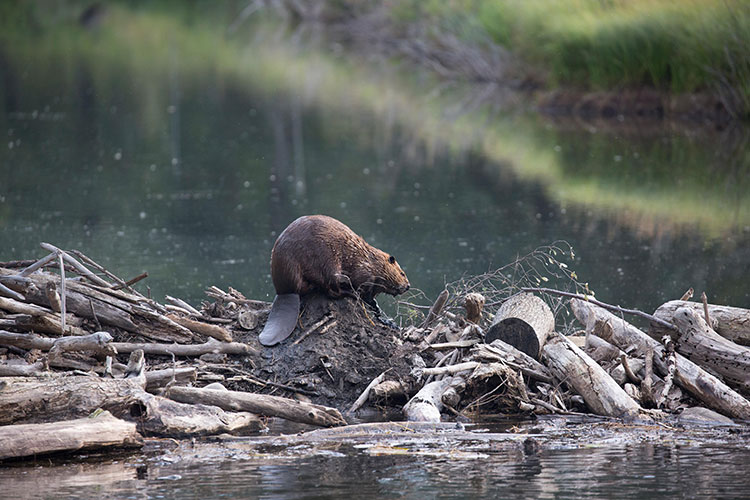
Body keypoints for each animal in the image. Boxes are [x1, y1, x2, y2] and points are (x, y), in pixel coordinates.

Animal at [258, 215, 412, 348]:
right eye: (402, 273)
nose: (408, 286)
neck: (370, 259)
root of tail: (286, 291)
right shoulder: (363, 270)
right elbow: (362, 287)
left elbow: (371, 297)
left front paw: (378, 309)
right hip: (325, 263)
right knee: (331, 289)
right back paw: (349, 291)